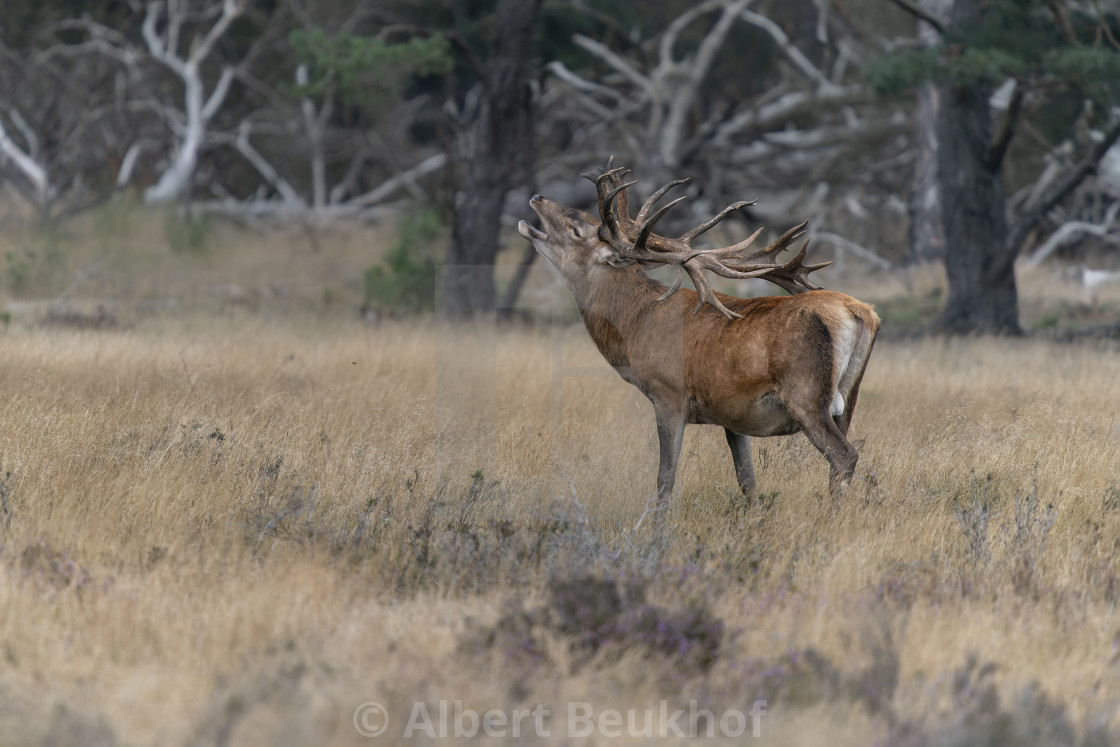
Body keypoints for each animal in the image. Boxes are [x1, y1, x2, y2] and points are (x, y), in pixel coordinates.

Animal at [512, 161, 873, 517]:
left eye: (576, 228)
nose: (537, 197)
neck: (636, 326)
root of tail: (862, 313)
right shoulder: (732, 413)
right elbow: (747, 480)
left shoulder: (668, 394)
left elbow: (665, 478)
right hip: (848, 398)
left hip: (806, 394)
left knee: (844, 455)